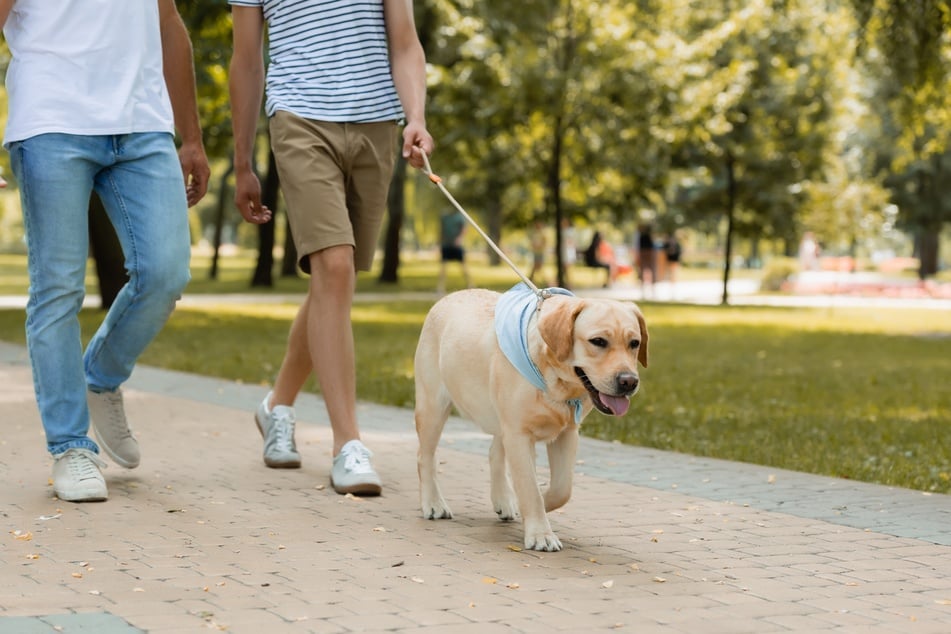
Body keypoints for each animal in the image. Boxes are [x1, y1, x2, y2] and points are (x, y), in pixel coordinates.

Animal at [412, 282, 652, 548]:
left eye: (634, 343)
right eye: (598, 341)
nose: (629, 382)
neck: (555, 382)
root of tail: (449, 297)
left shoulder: (567, 433)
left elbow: (562, 489)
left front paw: (535, 504)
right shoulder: (519, 435)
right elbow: (529, 487)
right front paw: (540, 534)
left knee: (494, 453)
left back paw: (504, 500)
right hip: (433, 406)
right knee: (425, 456)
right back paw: (433, 503)